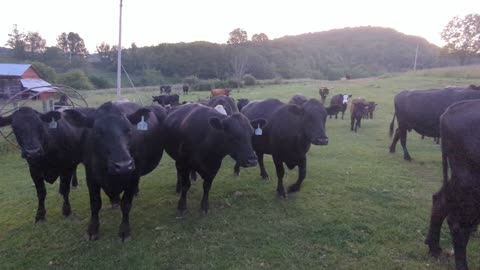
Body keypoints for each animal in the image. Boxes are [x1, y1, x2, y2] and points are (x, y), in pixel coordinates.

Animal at [62, 101, 167, 240]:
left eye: (129, 130)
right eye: (97, 132)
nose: (123, 165)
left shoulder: (133, 175)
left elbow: (126, 204)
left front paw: (124, 230)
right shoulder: (91, 176)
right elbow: (95, 203)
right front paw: (92, 230)